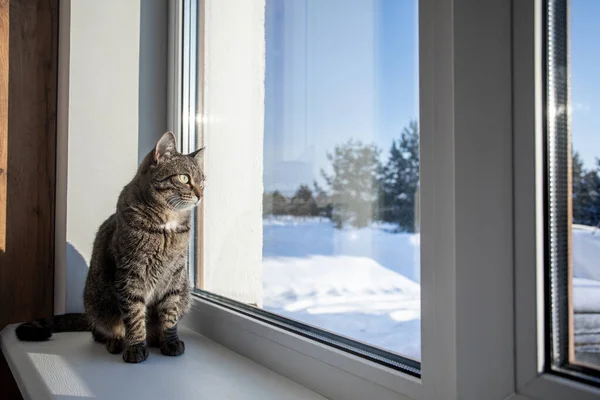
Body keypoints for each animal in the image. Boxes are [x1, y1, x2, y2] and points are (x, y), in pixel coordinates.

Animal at [15, 131, 205, 362]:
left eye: (203, 181)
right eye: (184, 178)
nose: (200, 194)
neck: (166, 226)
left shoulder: (174, 276)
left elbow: (170, 313)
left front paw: (169, 341)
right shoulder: (130, 274)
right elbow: (134, 315)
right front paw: (135, 346)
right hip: (97, 303)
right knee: (100, 331)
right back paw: (116, 341)